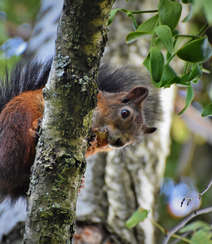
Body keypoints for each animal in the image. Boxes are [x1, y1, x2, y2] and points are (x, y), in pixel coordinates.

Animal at [0, 58, 160, 201]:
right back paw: (34, 132)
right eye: (125, 113)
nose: (119, 143)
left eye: (135, 141)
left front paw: (94, 140)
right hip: (18, 122)